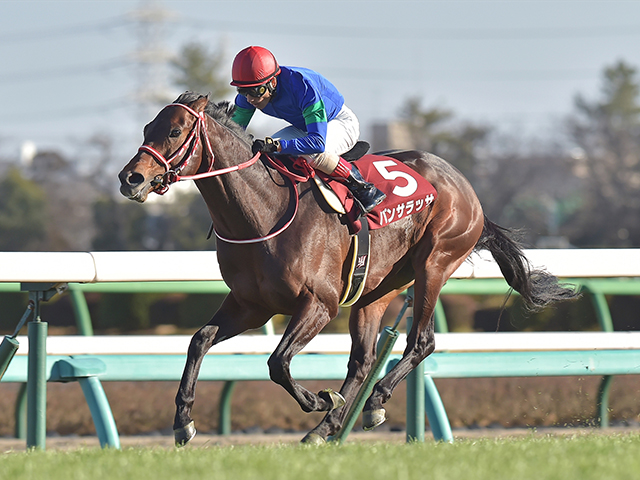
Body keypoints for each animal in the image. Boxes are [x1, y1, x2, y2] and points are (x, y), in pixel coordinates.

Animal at [117, 93, 576, 446]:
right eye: (145, 128)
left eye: (175, 132)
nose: (130, 178)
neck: (263, 212)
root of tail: (464, 185)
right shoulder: (251, 305)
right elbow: (199, 341)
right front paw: (183, 422)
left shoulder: (319, 304)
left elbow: (277, 362)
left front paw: (319, 399)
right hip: (376, 290)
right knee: (363, 360)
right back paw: (327, 428)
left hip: (435, 262)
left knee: (420, 342)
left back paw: (370, 403)